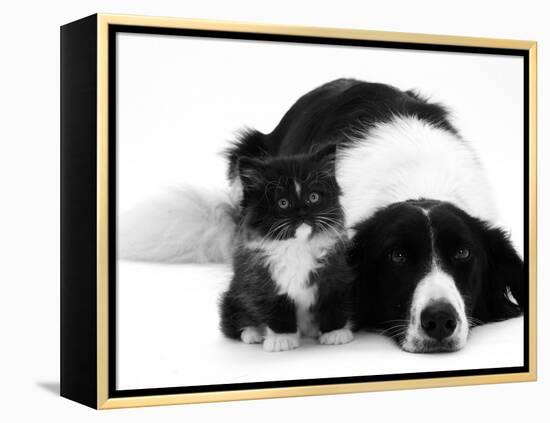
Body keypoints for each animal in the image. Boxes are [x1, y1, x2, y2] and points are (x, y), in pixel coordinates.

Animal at [220, 147, 354, 352]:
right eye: (283, 203)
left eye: (313, 197)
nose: (303, 213)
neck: (297, 246)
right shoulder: (261, 280)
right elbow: (276, 307)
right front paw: (281, 339)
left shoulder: (335, 272)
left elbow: (332, 302)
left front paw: (335, 332)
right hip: (233, 294)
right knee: (233, 321)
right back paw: (253, 333)